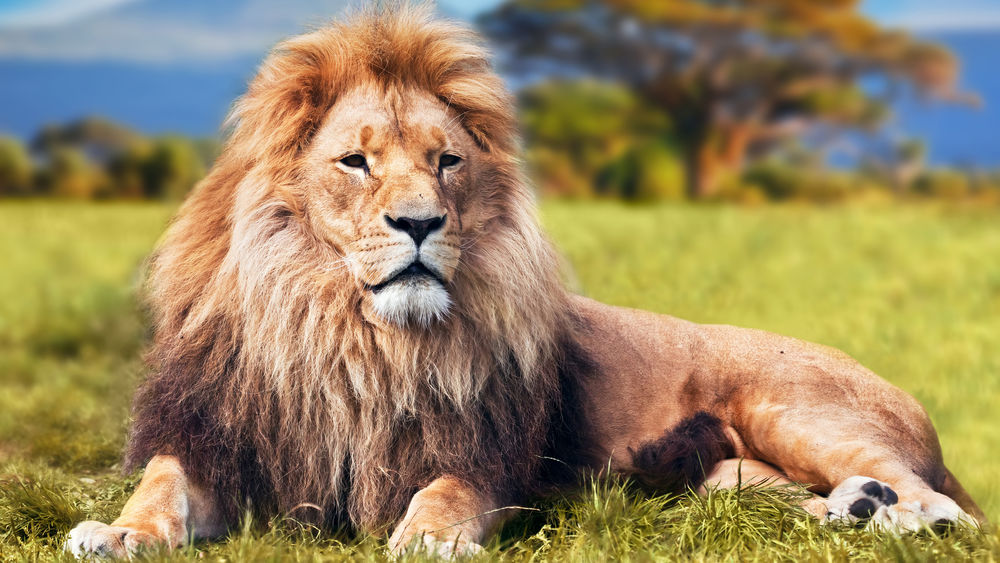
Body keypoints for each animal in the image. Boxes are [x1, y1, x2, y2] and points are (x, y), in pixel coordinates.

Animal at [66, 5, 985, 559]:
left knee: (945, 505)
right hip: (726, 476)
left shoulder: (482, 456)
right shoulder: (215, 436)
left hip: (792, 406)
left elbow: (443, 494)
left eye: (446, 161)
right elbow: (159, 487)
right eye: (355, 161)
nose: (420, 223)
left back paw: (900, 512)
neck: (349, 334)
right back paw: (854, 508)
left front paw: (426, 539)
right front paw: (114, 532)